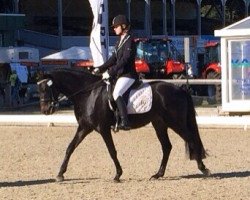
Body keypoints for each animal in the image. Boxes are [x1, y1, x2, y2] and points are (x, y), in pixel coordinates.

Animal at [36, 67, 209, 181]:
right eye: (39, 88)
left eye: (45, 88)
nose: (45, 110)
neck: (88, 94)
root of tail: (180, 89)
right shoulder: (84, 127)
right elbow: (70, 148)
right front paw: (60, 174)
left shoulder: (103, 129)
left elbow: (112, 151)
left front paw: (118, 174)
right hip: (159, 123)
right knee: (167, 147)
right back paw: (158, 174)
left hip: (175, 122)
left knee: (191, 139)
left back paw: (203, 169)